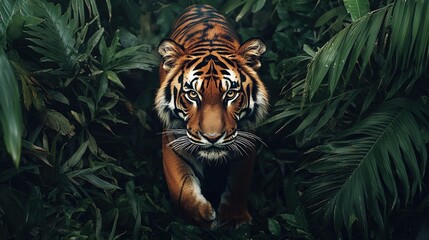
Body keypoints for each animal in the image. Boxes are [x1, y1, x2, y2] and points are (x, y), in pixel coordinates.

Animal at [154, 4, 268, 229]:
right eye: (192, 94)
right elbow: (181, 189)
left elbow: (239, 184)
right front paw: (202, 216)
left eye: (230, 94)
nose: (212, 138)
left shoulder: (246, 142)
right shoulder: (173, 141)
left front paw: (234, 218)